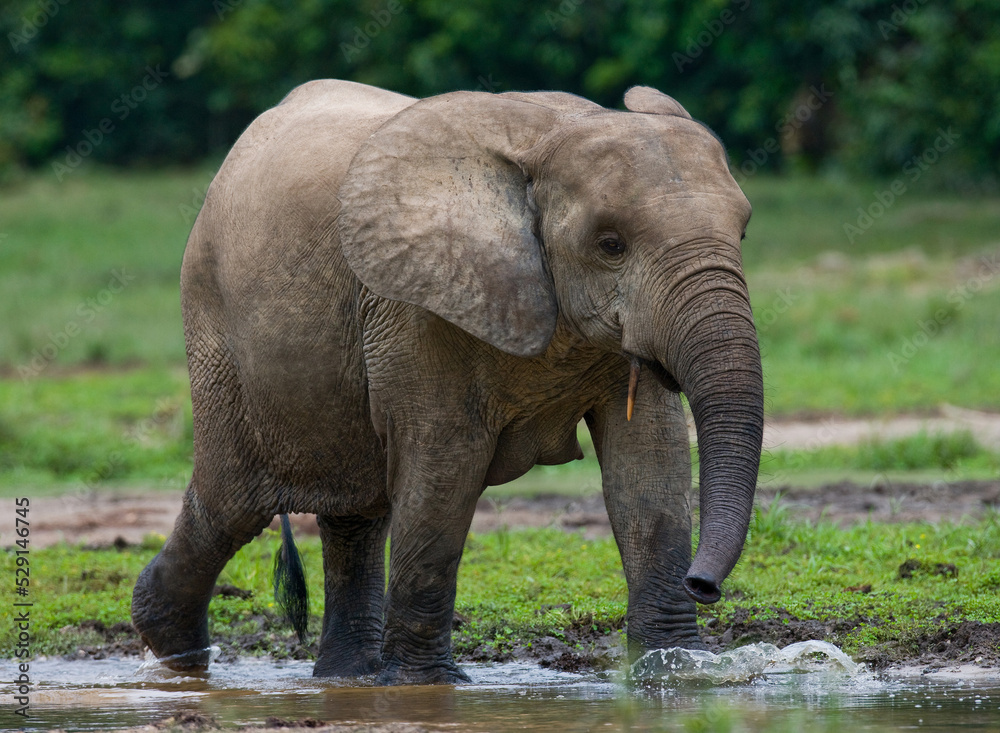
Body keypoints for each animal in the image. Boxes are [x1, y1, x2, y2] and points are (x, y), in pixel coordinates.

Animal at [131, 79, 763, 685]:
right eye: (611, 245)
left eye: (744, 231)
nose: (702, 585)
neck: (551, 137)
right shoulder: (417, 300)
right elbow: (445, 465)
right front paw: (426, 686)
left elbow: (649, 465)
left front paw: (675, 670)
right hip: (218, 333)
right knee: (232, 504)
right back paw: (175, 653)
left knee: (357, 507)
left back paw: (346, 677)